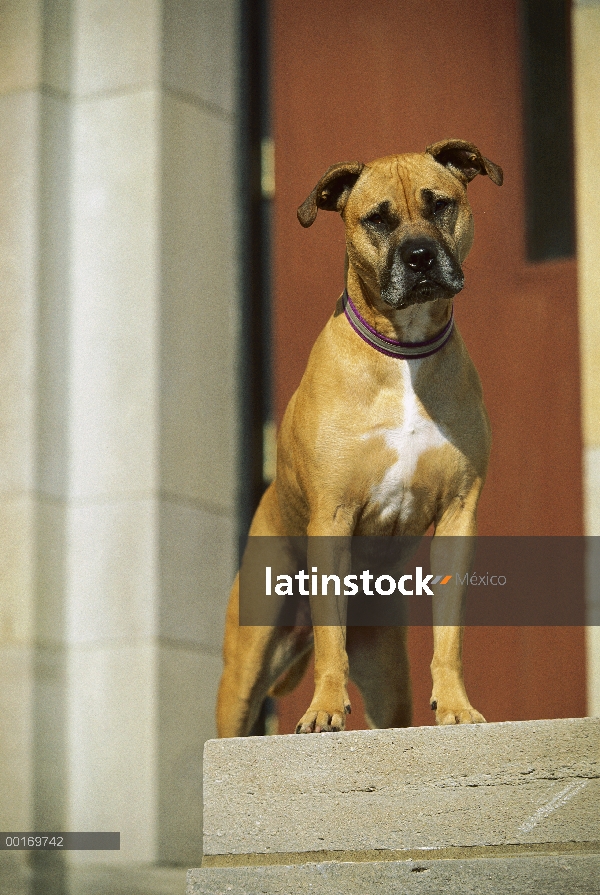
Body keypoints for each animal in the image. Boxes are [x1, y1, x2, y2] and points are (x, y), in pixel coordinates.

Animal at [216, 140, 502, 740]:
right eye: (377, 218)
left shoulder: (459, 514)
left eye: (440, 204)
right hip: (245, 666)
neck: (403, 354)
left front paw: (457, 705)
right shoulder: (332, 516)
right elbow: (332, 644)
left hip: (388, 677)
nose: (419, 256)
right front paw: (323, 709)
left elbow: (450, 635)